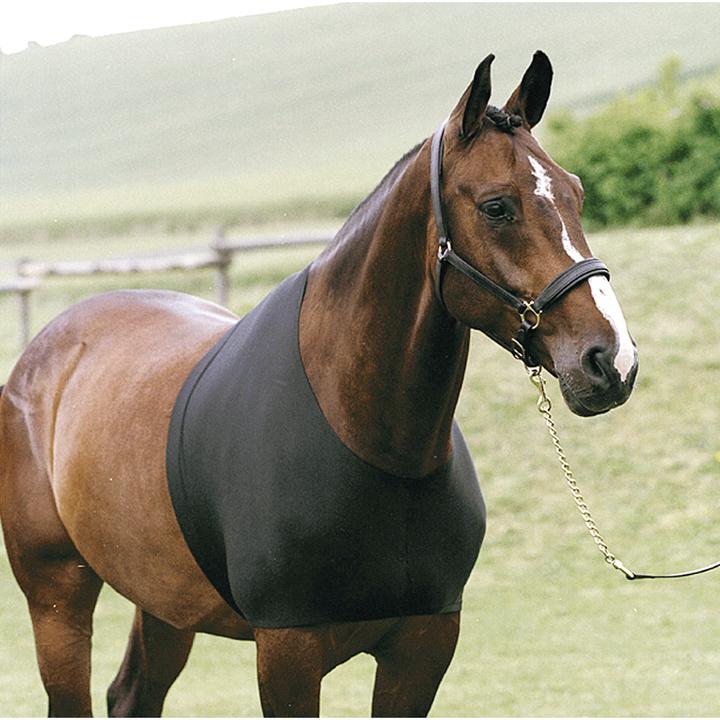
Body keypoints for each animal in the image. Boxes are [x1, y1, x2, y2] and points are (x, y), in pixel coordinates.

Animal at [0, 51, 638, 717]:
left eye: (576, 193)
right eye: (496, 206)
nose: (610, 360)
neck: (373, 443)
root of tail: (47, 350)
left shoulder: (423, 647)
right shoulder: (288, 652)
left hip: (163, 602)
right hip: (58, 597)